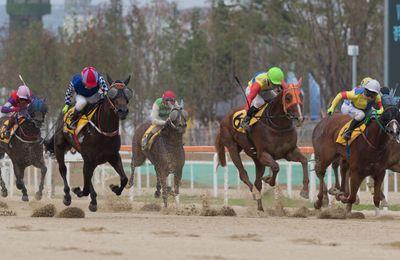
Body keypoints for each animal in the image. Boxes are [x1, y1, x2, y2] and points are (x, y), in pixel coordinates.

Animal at [45, 74, 133, 211]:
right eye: (112, 94)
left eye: (127, 93)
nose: (122, 111)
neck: (104, 131)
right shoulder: (90, 158)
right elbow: (85, 188)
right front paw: (77, 190)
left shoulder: (113, 156)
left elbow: (124, 179)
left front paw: (114, 188)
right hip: (59, 146)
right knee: (63, 169)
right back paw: (67, 196)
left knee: (88, 177)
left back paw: (93, 200)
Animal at [216, 79, 306, 211]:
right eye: (288, 97)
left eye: (301, 96)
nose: (299, 118)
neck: (277, 125)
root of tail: (224, 118)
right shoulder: (263, 154)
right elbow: (276, 167)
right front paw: (269, 180)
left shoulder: (289, 152)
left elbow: (304, 160)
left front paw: (305, 190)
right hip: (232, 148)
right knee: (243, 175)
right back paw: (254, 193)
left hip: (256, 159)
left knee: (257, 182)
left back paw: (260, 208)